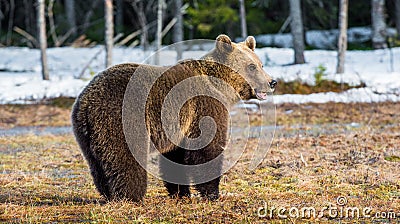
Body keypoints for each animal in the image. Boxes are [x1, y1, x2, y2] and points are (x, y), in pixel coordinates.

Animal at [71, 34, 278, 201]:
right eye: (251, 66)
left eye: (261, 64)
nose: (272, 82)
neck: (221, 86)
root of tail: (87, 101)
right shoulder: (203, 107)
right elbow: (207, 149)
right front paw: (213, 193)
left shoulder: (179, 124)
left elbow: (175, 156)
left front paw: (181, 192)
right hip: (123, 117)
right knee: (126, 157)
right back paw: (131, 196)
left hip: (86, 133)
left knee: (97, 163)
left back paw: (108, 193)